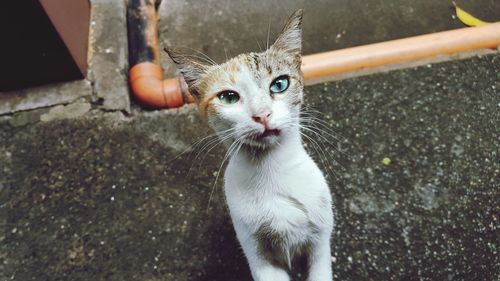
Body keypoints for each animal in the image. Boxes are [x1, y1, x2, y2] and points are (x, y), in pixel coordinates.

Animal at [166, 9, 334, 280]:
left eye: (279, 84)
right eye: (228, 97)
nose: (262, 114)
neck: (272, 172)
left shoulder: (319, 241)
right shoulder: (257, 253)